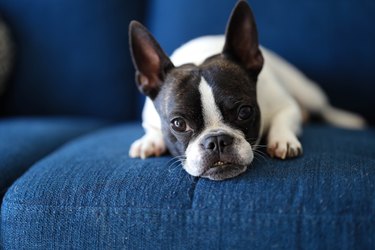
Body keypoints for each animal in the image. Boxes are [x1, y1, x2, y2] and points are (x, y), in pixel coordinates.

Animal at [128, 0, 366, 180]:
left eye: (245, 112)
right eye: (178, 124)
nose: (216, 141)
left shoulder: (286, 105)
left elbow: (285, 117)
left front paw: (283, 140)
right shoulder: (148, 117)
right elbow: (151, 128)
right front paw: (149, 142)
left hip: (308, 92)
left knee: (323, 107)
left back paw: (349, 120)